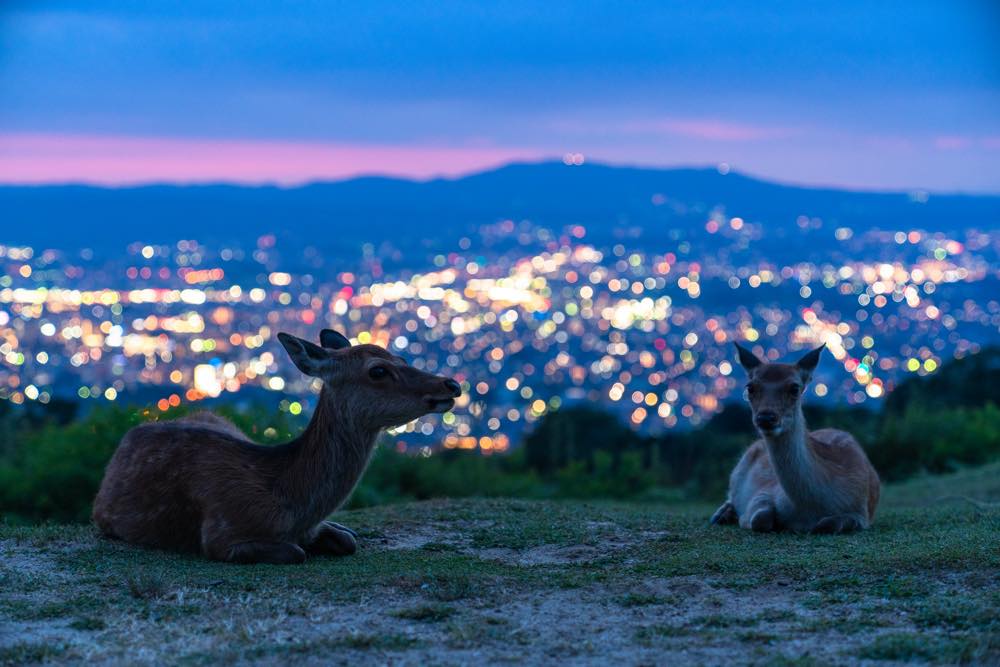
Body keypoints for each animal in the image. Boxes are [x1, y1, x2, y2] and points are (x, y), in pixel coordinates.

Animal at [92, 328, 462, 564]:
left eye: (401, 357)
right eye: (378, 370)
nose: (451, 384)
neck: (287, 503)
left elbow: (348, 540)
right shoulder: (219, 535)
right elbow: (295, 553)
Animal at [712, 348, 884, 536]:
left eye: (794, 388)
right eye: (750, 387)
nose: (766, 417)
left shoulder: (862, 512)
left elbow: (827, 525)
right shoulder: (765, 491)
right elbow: (760, 519)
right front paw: (743, 519)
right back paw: (721, 515)